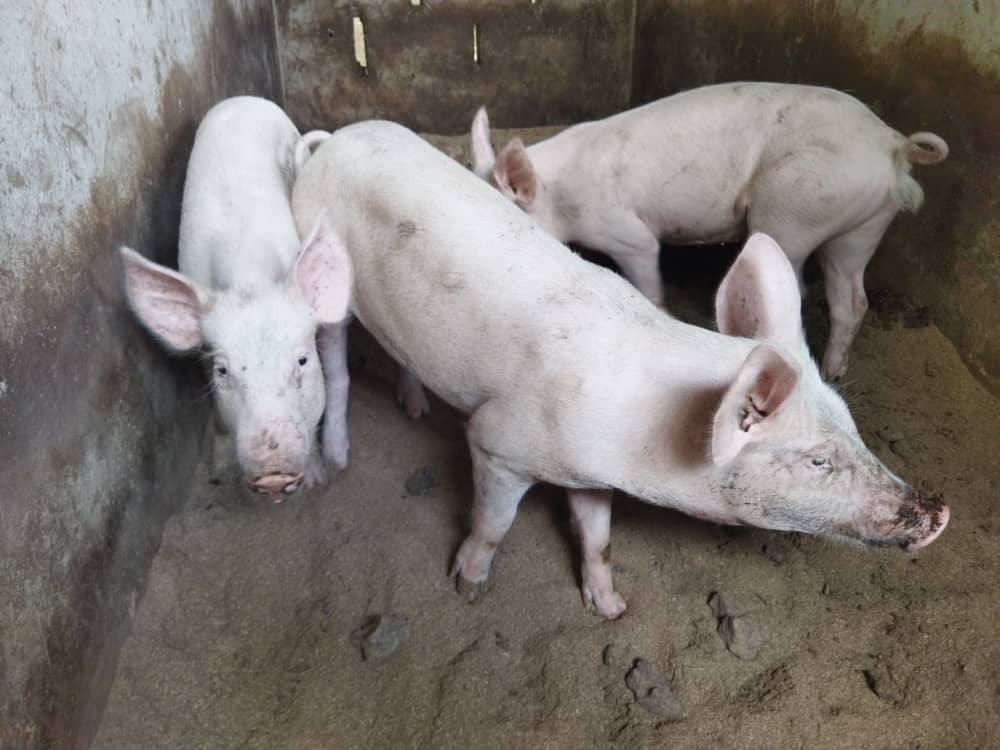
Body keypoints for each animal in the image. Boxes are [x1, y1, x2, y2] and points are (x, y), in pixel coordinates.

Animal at [120, 96, 353, 501]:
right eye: (222, 371)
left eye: (303, 360)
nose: (272, 472)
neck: (249, 279)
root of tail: (240, 99)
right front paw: (223, 468)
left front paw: (319, 477)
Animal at [291, 120, 948, 619]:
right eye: (817, 461)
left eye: (854, 429)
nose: (939, 512)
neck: (648, 434)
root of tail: (339, 138)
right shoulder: (498, 443)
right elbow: (494, 522)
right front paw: (468, 587)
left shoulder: (588, 473)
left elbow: (599, 538)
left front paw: (611, 610)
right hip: (321, 270)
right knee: (336, 365)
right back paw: (338, 459)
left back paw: (416, 407)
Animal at [469, 83, 949, 380]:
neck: (560, 192)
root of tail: (892, 143)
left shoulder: (627, 233)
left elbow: (647, 274)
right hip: (863, 226)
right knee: (852, 300)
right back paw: (835, 371)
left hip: (792, 210)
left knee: (794, 286)